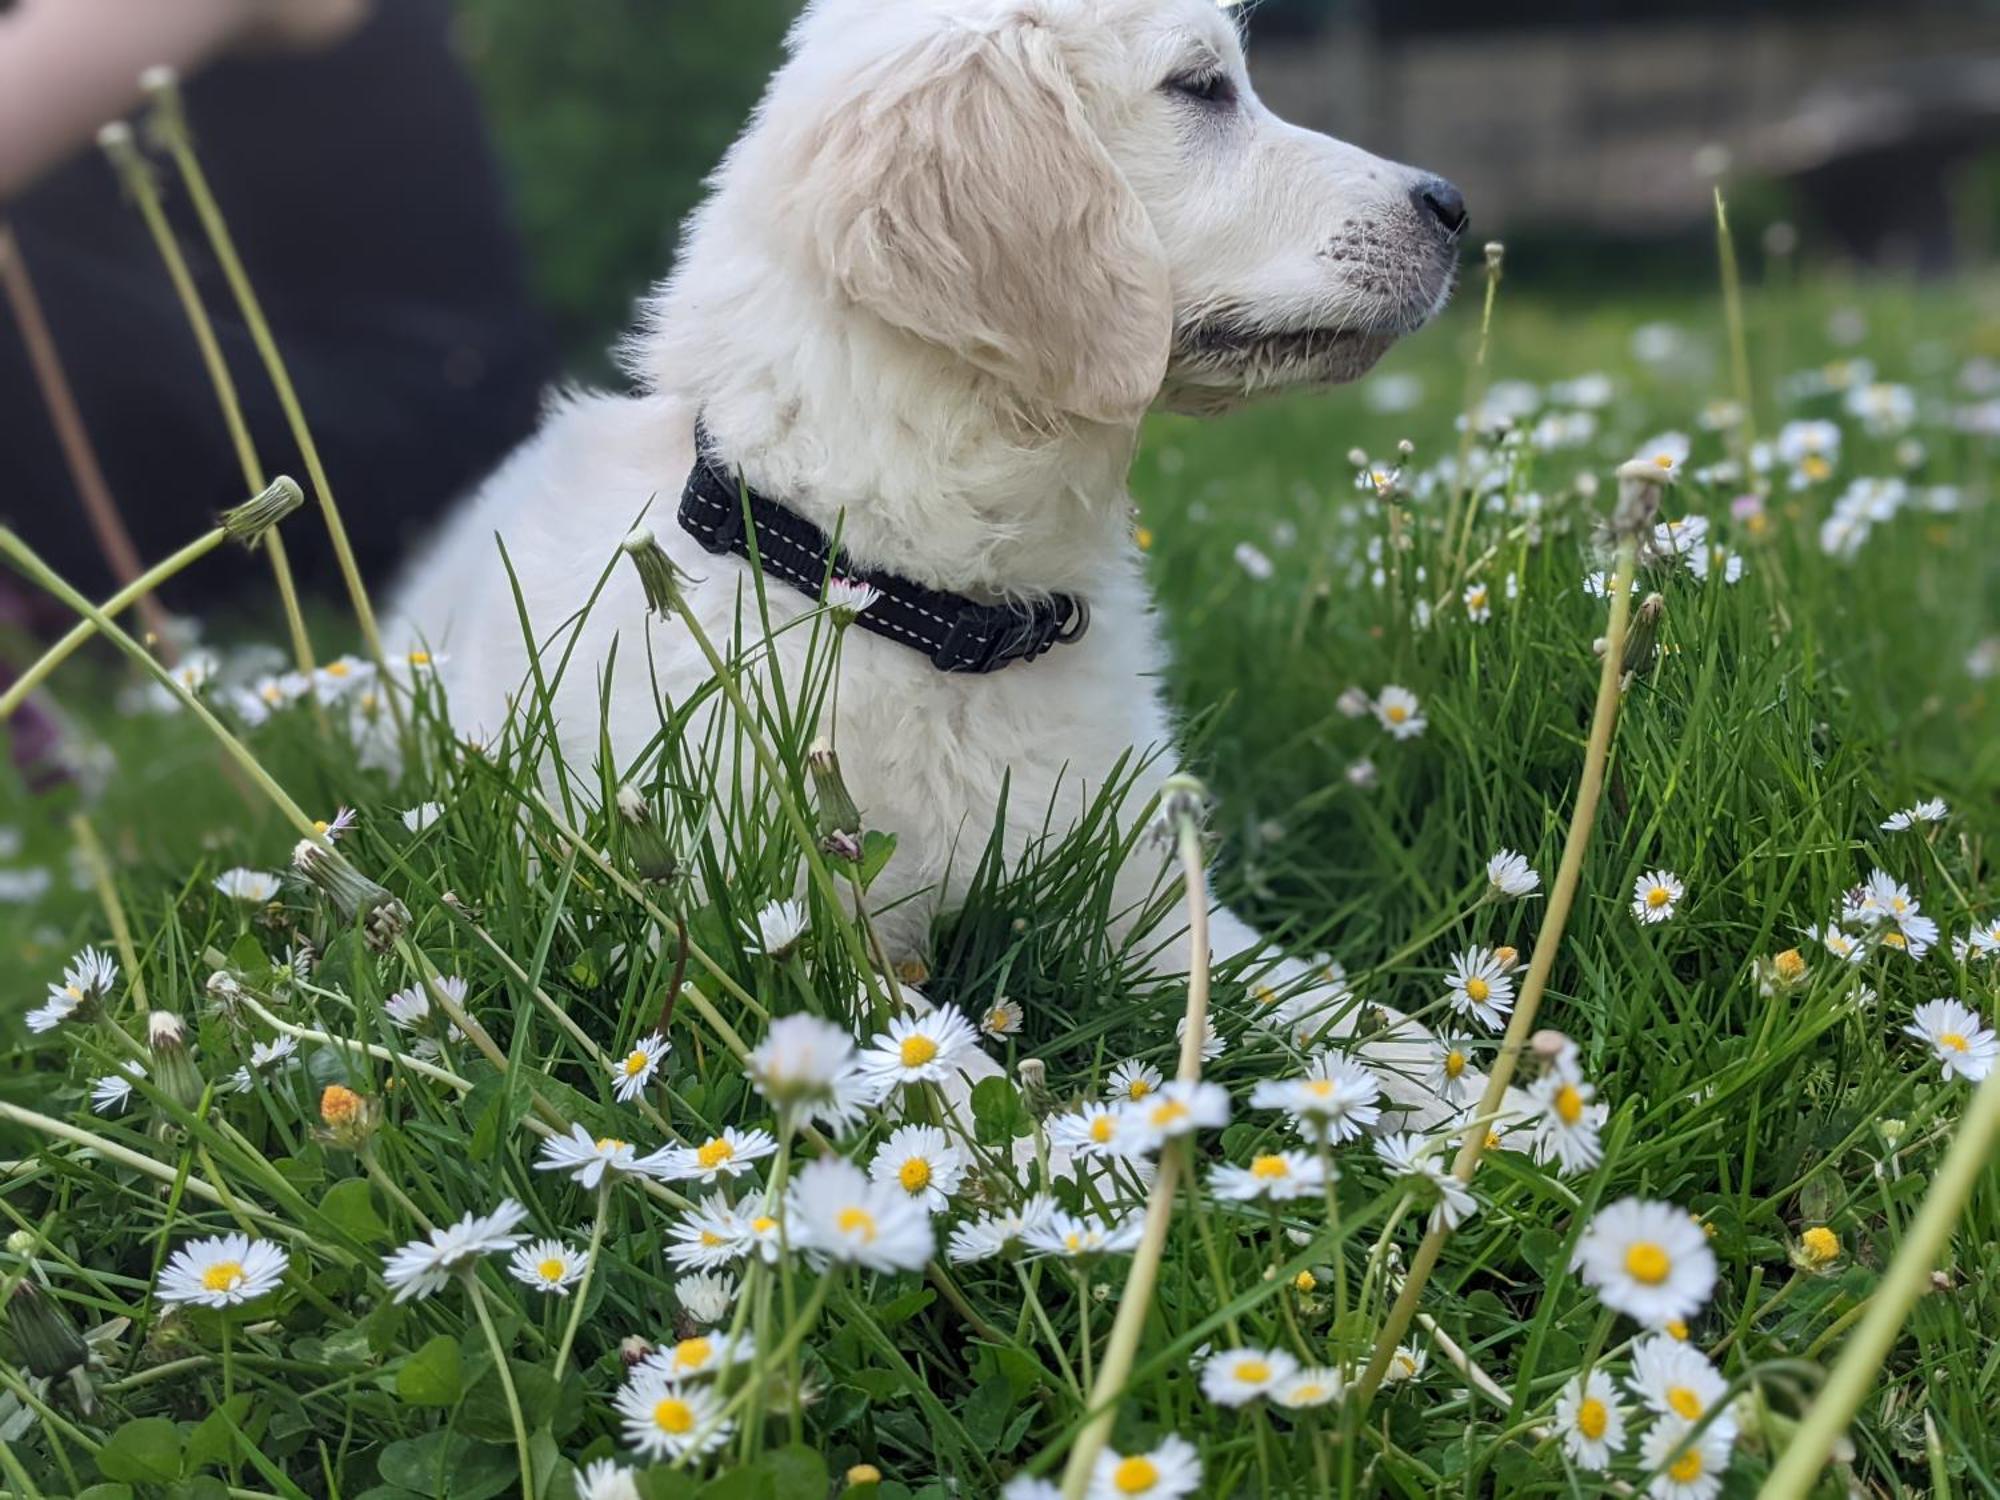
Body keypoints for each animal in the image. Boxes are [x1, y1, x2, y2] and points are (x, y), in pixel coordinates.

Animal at [394, 0, 1488, 1120]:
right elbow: (947, 1072)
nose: (1452, 205)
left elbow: (1318, 996)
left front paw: (1486, 1104)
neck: (925, 611)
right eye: (1199, 87)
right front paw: (1045, 1151)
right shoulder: (762, 931)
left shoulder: (1140, 892)